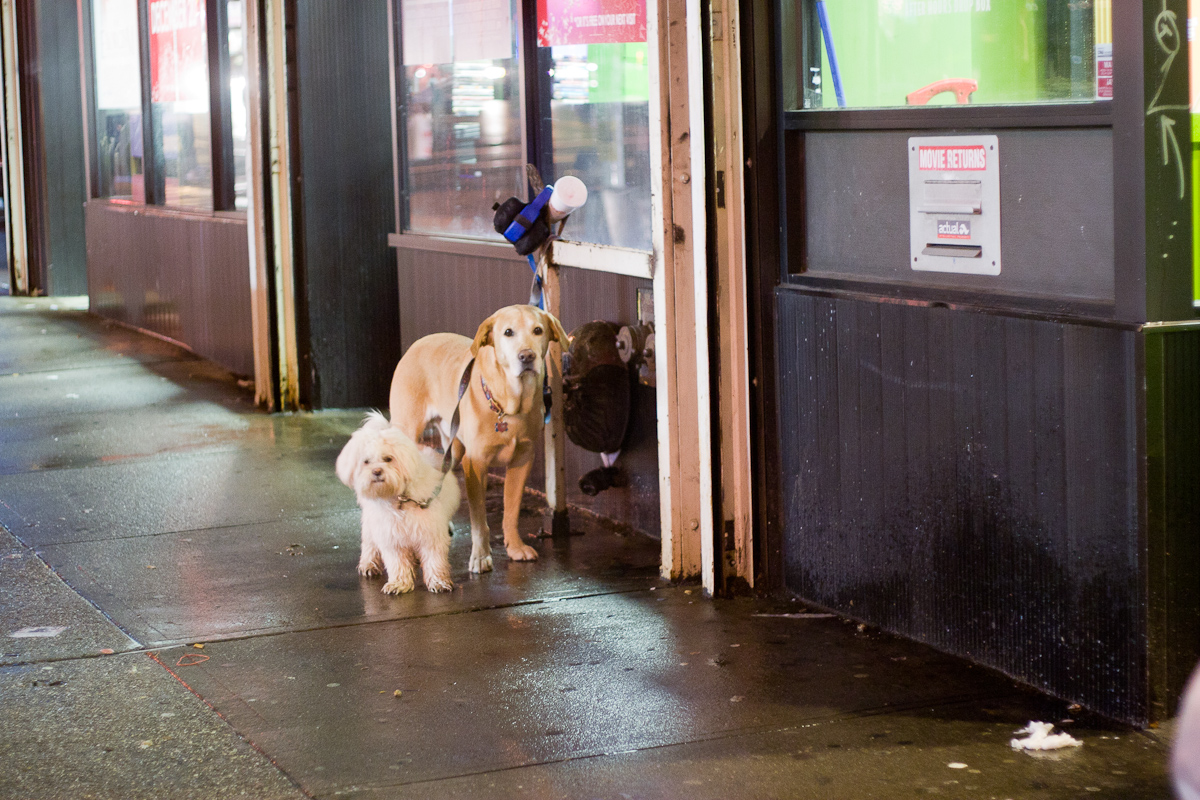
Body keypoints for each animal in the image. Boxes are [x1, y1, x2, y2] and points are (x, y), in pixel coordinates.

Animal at [336, 412, 460, 594]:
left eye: (388, 459)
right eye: (366, 461)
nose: (377, 471)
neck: (399, 498)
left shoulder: (430, 534)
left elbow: (434, 559)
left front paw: (439, 582)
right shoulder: (391, 537)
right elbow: (397, 562)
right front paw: (399, 583)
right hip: (371, 523)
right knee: (369, 542)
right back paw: (368, 564)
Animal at [386, 303, 568, 573]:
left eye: (538, 330)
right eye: (508, 332)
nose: (526, 356)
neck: (509, 405)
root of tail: (419, 342)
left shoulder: (523, 459)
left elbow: (511, 509)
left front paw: (515, 547)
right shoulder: (476, 464)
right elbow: (479, 518)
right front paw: (481, 556)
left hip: (452, 448)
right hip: (409, 432)